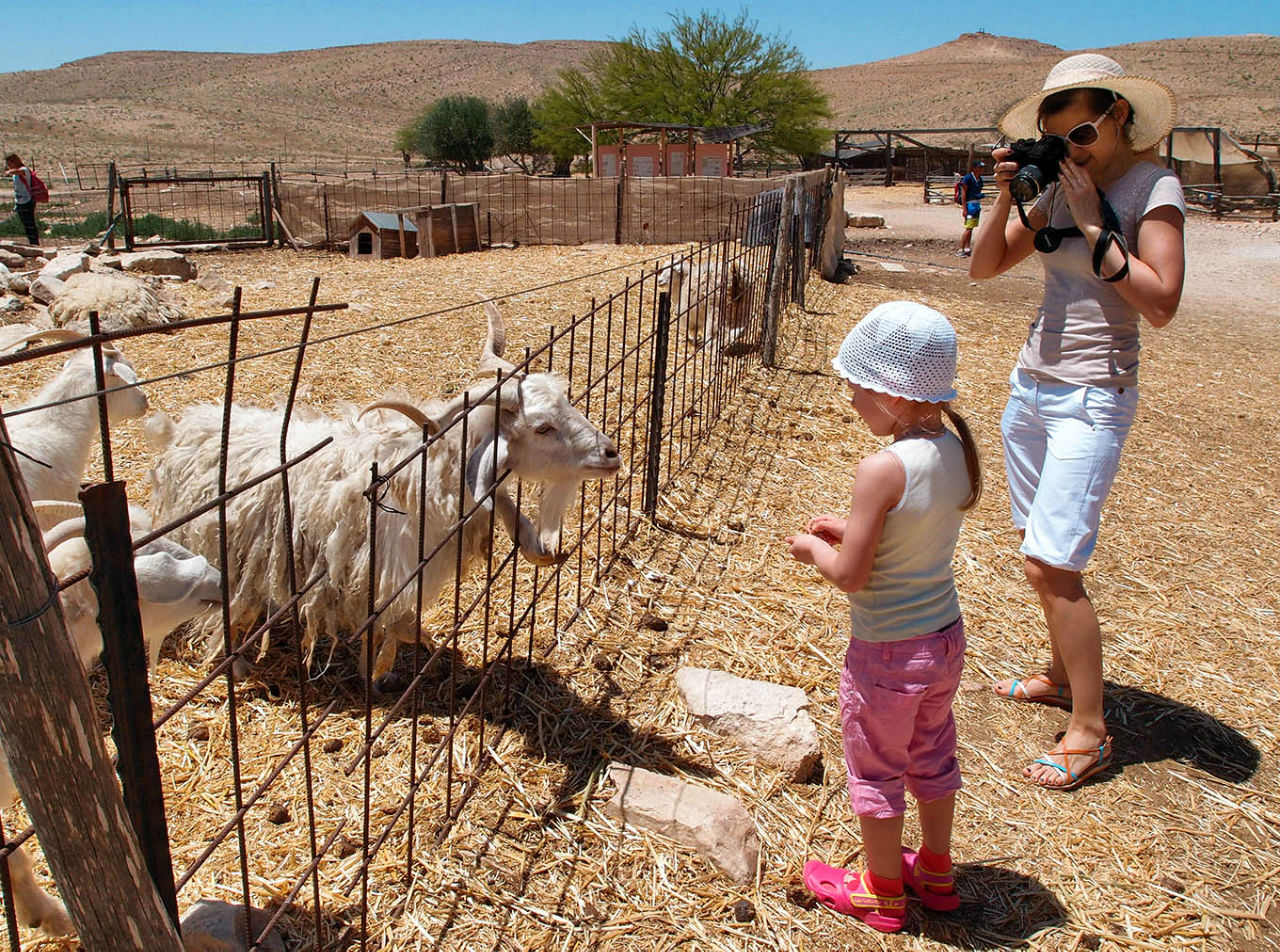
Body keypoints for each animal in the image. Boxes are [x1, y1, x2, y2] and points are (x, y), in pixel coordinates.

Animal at [147, 303, 622, 685]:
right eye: (543, 427)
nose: (611, 453)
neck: (423, 476)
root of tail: (184, 428)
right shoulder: (381, 571)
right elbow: (386, 625)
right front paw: (382, 669)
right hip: (220, 551)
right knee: (223, 610)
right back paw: (241, 667)